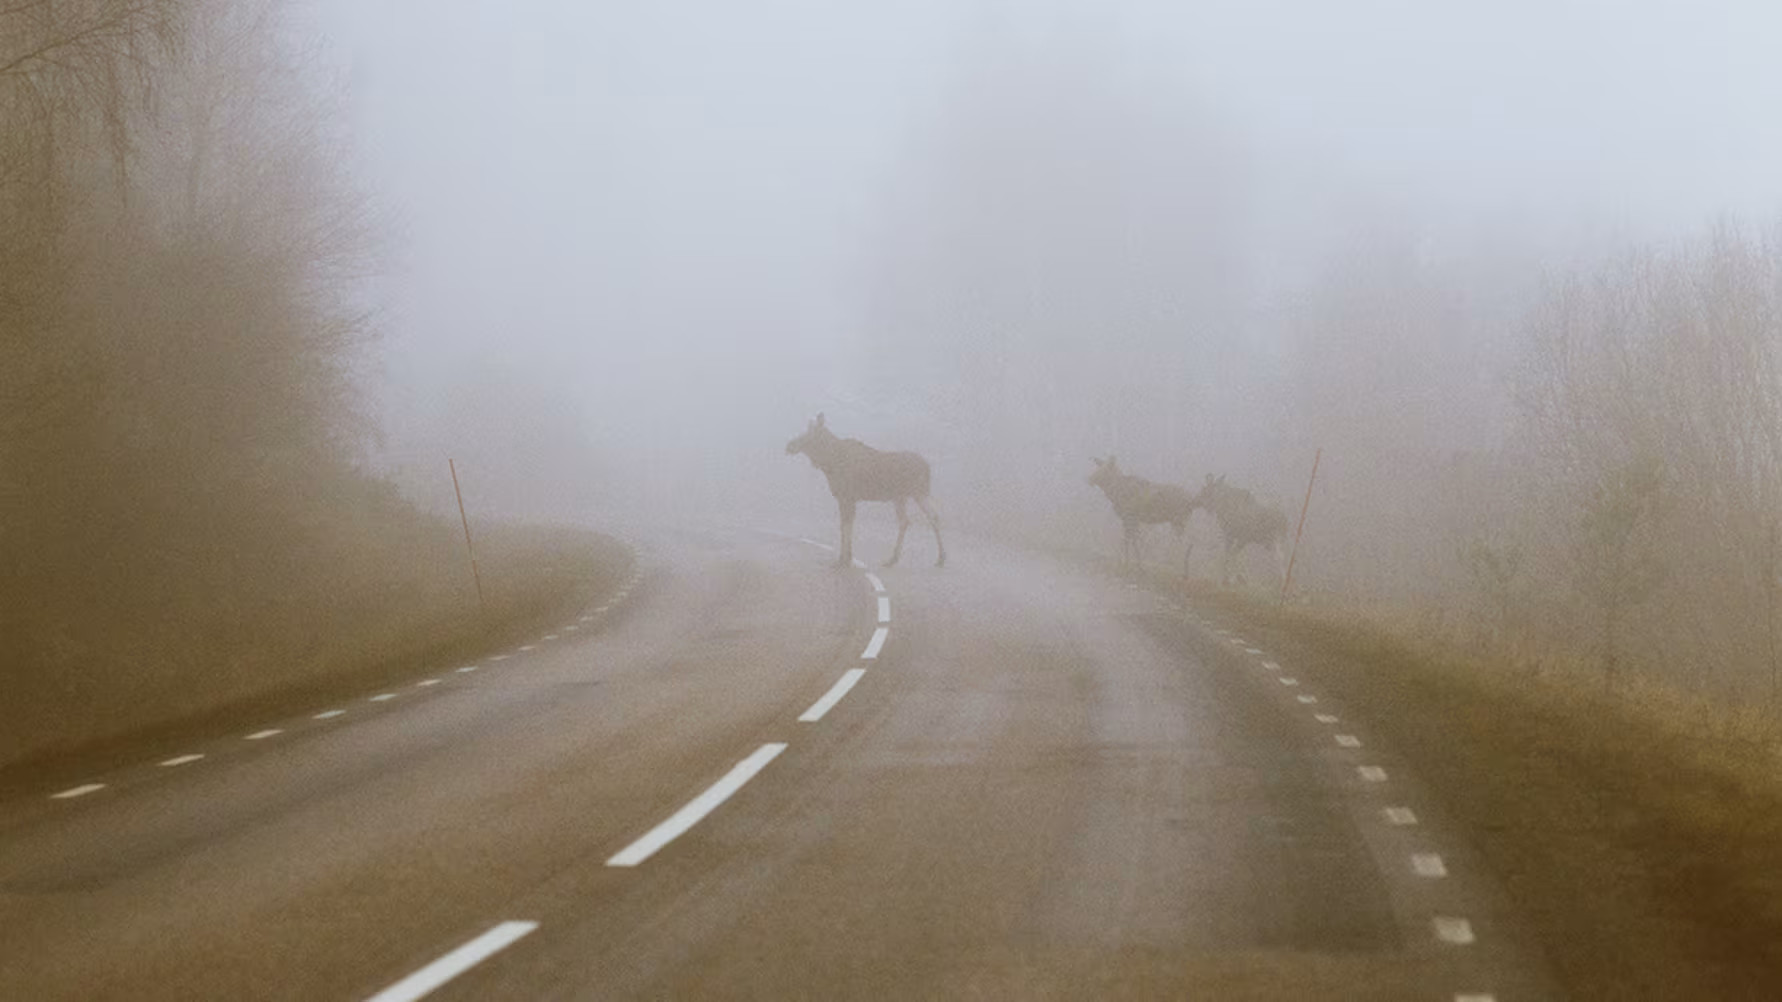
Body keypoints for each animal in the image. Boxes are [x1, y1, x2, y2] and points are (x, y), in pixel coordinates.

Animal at [784, 411, 948, 566]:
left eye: (808, 433)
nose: (789, 445)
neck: (829, 462)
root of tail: (927, 467)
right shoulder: (848, 498)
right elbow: (845, 525)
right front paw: (846, 557)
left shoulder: (847, 497)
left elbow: (845, 526)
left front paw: (843, 559)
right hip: (905, 496)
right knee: (917, 519)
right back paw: (914, 558)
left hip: (915, 493)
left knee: (919, 518)